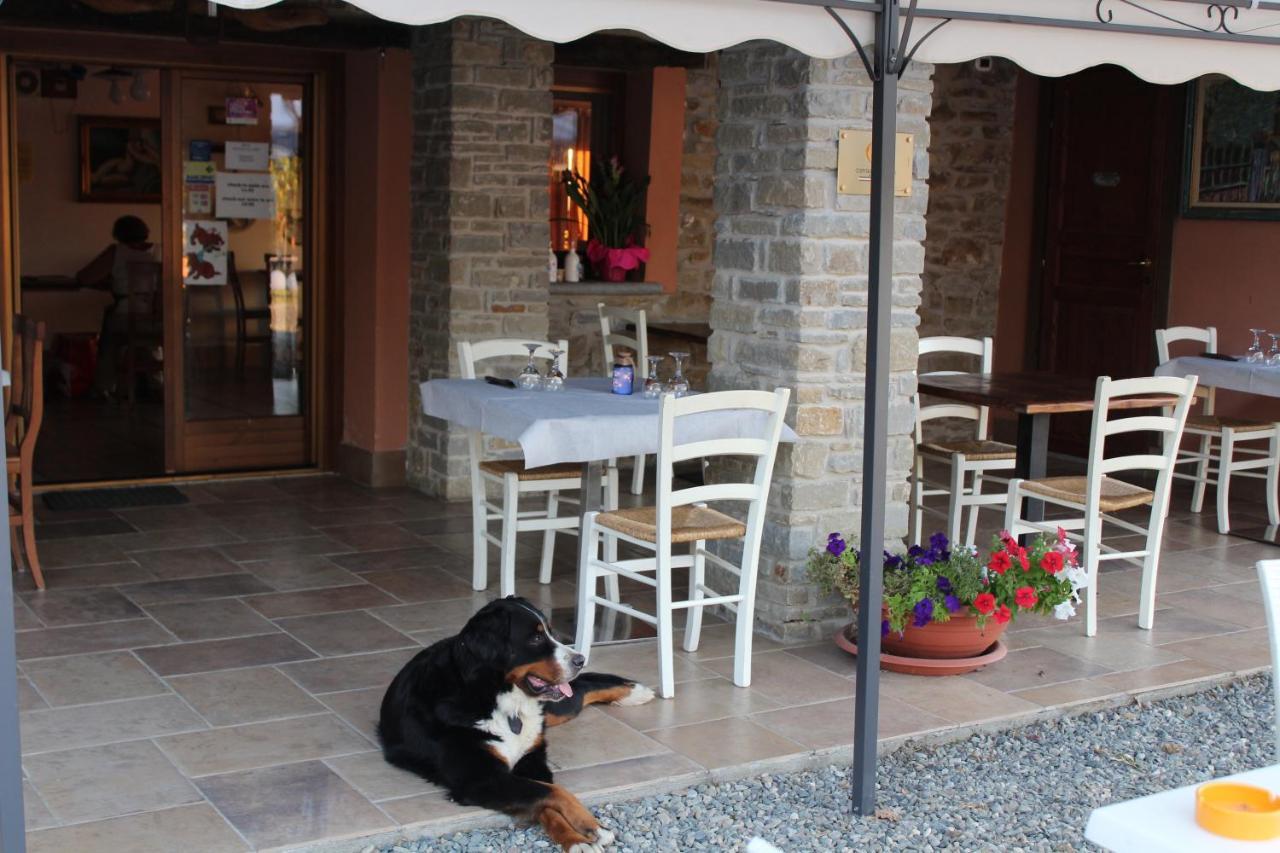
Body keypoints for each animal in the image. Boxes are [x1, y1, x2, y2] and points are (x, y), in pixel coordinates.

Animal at [371, 594, 650, 845]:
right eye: (536, 638)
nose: (580, 659)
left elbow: (550, 796)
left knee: (581, 689)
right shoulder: (482, 779)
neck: (499, 700)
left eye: (550, 633)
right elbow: (552, 796)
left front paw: (584, 832)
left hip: (552, 710)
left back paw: (635, 692)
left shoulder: (531, 760)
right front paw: (587, 832)